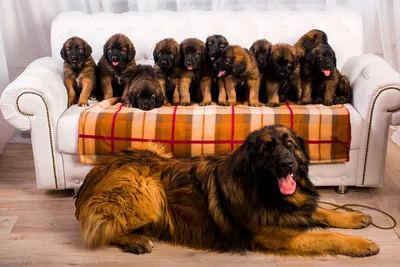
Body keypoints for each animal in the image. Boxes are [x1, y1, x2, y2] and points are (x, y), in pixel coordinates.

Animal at [75, 124, 378, 258]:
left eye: (290, 144)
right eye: (267, 149)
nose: (287, 164)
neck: (260, 188)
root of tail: (93, 174)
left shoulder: (295, 209)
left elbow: (322, 211)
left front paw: (354, 217)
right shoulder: (278, 235)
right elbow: (326, 235)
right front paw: (361, 244)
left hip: (155, 151)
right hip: (148, 188)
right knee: (102, 228)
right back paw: (137, 241)